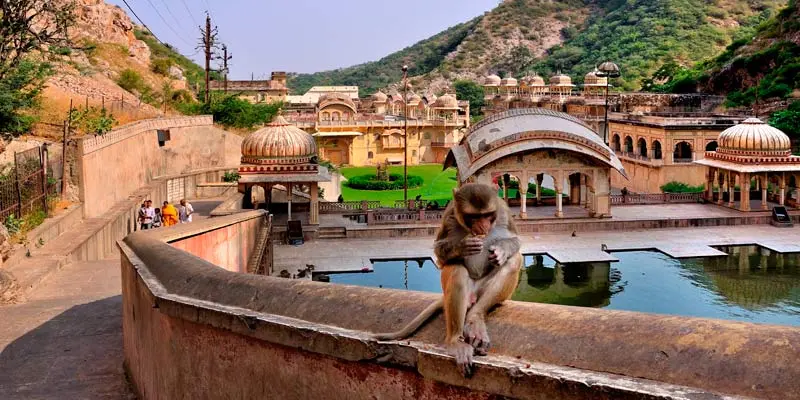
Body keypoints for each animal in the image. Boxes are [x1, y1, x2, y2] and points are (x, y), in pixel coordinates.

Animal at [372, 183, 522, 377]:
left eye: (487, 215)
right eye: (474, 216)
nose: (482, 226)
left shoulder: (503, 211)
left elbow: (515, 240)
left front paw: (501, 250)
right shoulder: (450, 215)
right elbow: (440, 252)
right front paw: (462, 246)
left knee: (514, 261)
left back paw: (475, 319)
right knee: (456, 269)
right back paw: (455, 341)